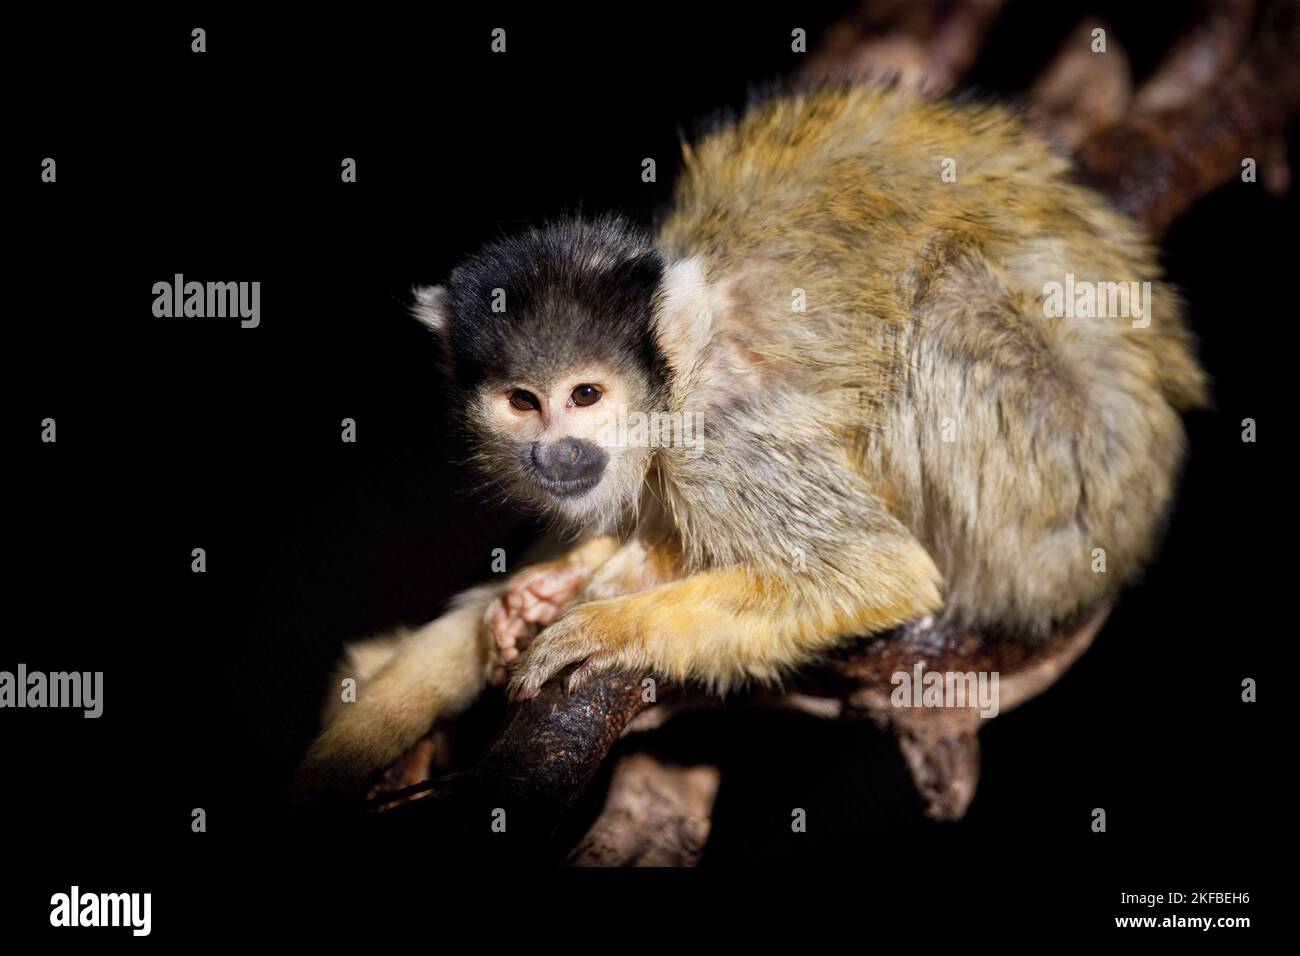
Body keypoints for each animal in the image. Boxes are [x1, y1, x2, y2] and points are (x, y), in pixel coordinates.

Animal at [292, 85, 1196, 796]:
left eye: (585, 396)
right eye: (523, 402)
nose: (558, 453)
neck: (676, 389)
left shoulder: (722, 442)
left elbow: (876, 573)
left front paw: (615, 623)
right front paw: (572, 575)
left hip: (1058, 507)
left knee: (946, 307)